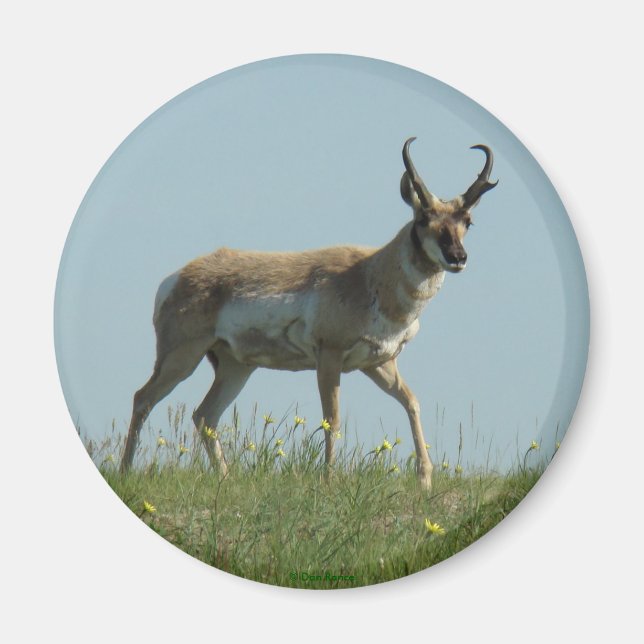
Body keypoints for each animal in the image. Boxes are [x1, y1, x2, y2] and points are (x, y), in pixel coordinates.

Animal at [120, 137, 497, 490]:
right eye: (422, 219)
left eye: (467, 221)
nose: (457, 257)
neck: (371, 274)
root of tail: (175, 278)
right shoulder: (329, 357)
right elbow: (333, 419)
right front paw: (330, 480)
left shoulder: (379, 363)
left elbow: (412, 402)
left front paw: (425, 480)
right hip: (181, 357)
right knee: (144, 398)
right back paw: (125, 471)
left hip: (235, 366)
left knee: (204, 415)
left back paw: (225, 478)